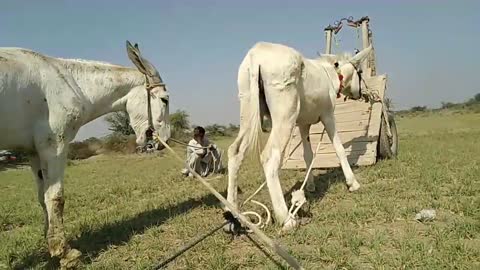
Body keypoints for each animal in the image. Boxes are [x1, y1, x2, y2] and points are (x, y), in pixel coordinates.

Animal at [0, 41, 172, 266]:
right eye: (165, 100)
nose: (165, 140)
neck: (70, 81)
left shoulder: (34, 152)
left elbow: (43, 198)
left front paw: (51, 246)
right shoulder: (54, 146)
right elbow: (55, 197)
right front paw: (65, 253)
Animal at [225, 41, 372, 230]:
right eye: (360, 72)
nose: (362, 93)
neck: (331, 74)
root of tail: (255, 55)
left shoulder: (303, 124)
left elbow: (307, 155)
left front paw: (310, 187)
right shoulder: (328, 115)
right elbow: (338, 148)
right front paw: (352, 183)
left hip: (248, 108)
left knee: (235, 151)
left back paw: (232, 214)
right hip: (285, 116)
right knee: (270, 157)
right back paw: (286, 219)